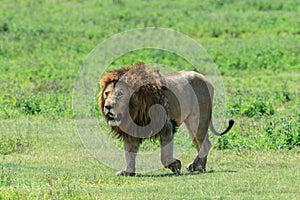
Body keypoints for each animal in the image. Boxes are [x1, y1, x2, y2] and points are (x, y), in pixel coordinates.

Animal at [98, 62, 234, 175]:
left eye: (120, 94)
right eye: (107, 93)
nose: (107, 107)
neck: (133, 110)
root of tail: (206, 79)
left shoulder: (166, 125)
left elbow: (165, 156)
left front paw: (175, 165)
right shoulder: (131, 130)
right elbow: (129, 153)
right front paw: (128, 172)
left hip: (198, 119)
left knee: (205, 144)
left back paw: (198, 167)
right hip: (191, 123)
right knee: (202, 144)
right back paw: (197, 166)